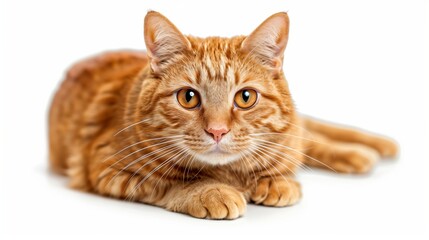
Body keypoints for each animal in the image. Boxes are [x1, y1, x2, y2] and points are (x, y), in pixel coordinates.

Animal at [49, 11, 398, 219]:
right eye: (188, 98)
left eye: (245, 97)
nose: (217, 131)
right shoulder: (108, 170)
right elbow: (171, 184)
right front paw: (211, 191)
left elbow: (282, 161)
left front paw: (275, 181)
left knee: (314, 134)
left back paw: (371, 149)